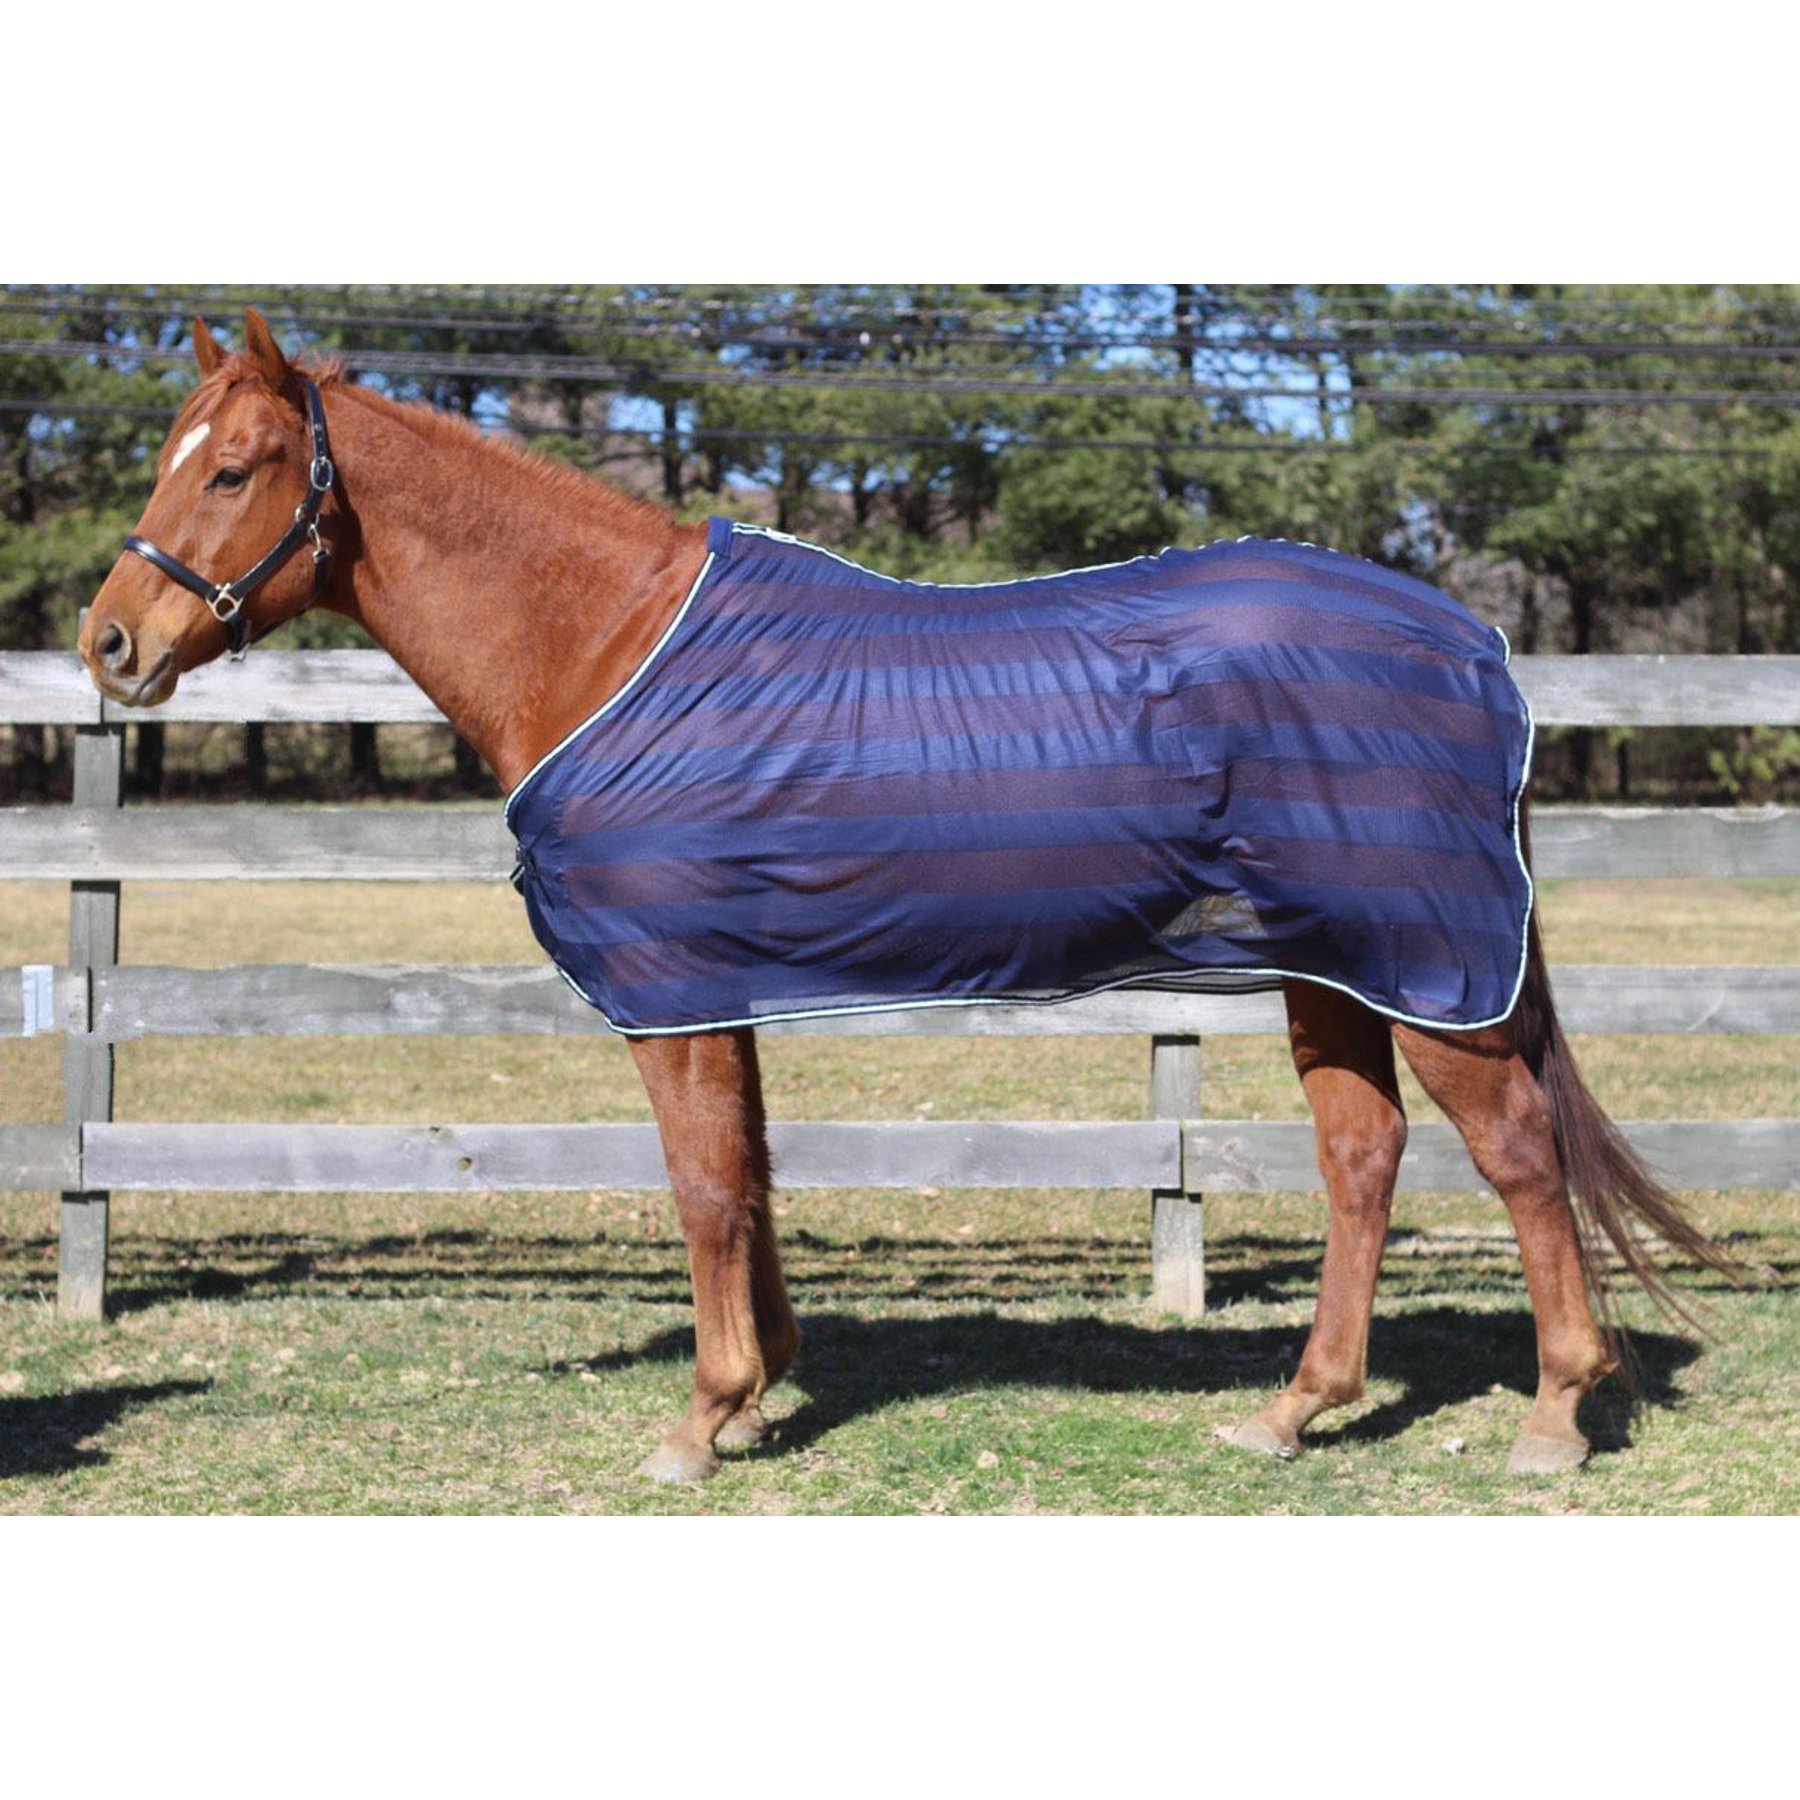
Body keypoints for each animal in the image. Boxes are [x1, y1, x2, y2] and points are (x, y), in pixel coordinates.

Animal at [77, 309, 1730, 1483]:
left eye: (234, 468)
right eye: (167, 454)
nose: (109, 642)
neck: (606, 646)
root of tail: (1476, 644)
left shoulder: (670, 996)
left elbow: (701, 1186)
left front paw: (700, 1422)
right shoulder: (722, 983)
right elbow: (746, 1175)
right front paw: (757, 1396)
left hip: (1431, 966)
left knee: (1517, 1155)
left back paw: (1553, 1417)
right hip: (1335, 969)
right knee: (1363, 1160)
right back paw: (1294, 1412)